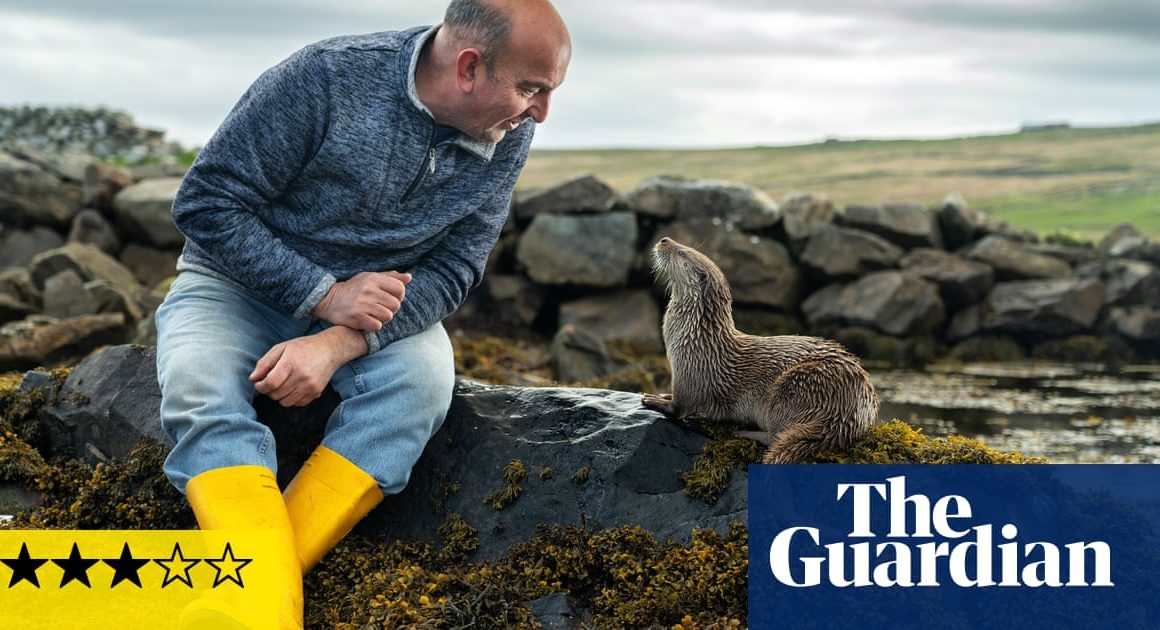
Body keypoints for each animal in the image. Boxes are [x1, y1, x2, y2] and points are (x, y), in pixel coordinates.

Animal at [644, 236, 876, 464]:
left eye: (682, 252)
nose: (664, 240)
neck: (696, 337)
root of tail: (848, 413)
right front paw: (662, 394)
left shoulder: (692, 373)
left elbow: (680, 408)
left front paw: (654, 400)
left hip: (795, 387)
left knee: (776, 435)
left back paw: (744, 433)